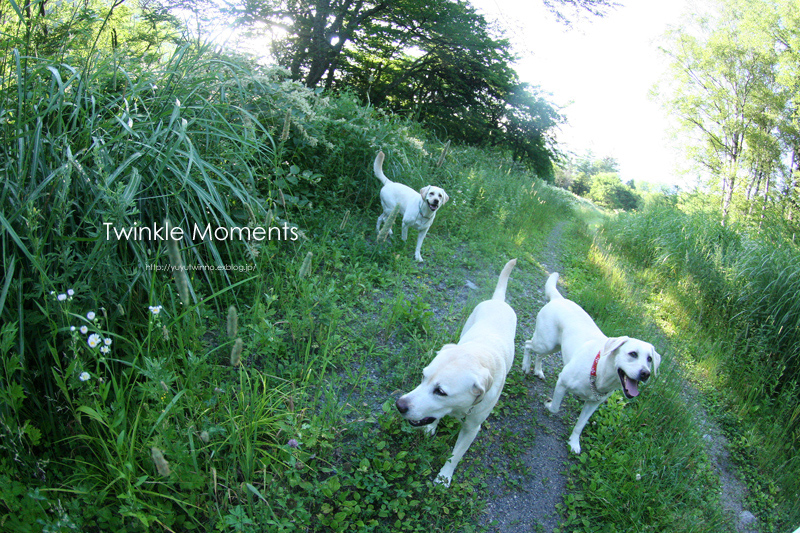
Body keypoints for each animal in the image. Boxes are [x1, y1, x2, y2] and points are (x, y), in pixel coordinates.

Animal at [396, 258, 520, 486]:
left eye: (441, 392)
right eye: (423, 376)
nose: (399, 405)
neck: (480, 356)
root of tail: (498, 301)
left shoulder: (472, 429)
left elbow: (455, 456)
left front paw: (444, 477)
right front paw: (431, 426)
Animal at [520, 274, 660, 454]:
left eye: (649, 359)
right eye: (633, 354)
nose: (645, 373)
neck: (599, 371)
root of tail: (559, 299)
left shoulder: (592, 404)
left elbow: (580, 425)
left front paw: (574, 443)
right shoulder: (562, 382)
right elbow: (556, 407)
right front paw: (548, 404)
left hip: (554, 346)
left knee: (539, 356)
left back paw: (538, 370)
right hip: (545, 342)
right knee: (528, 344)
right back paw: (525, 365)